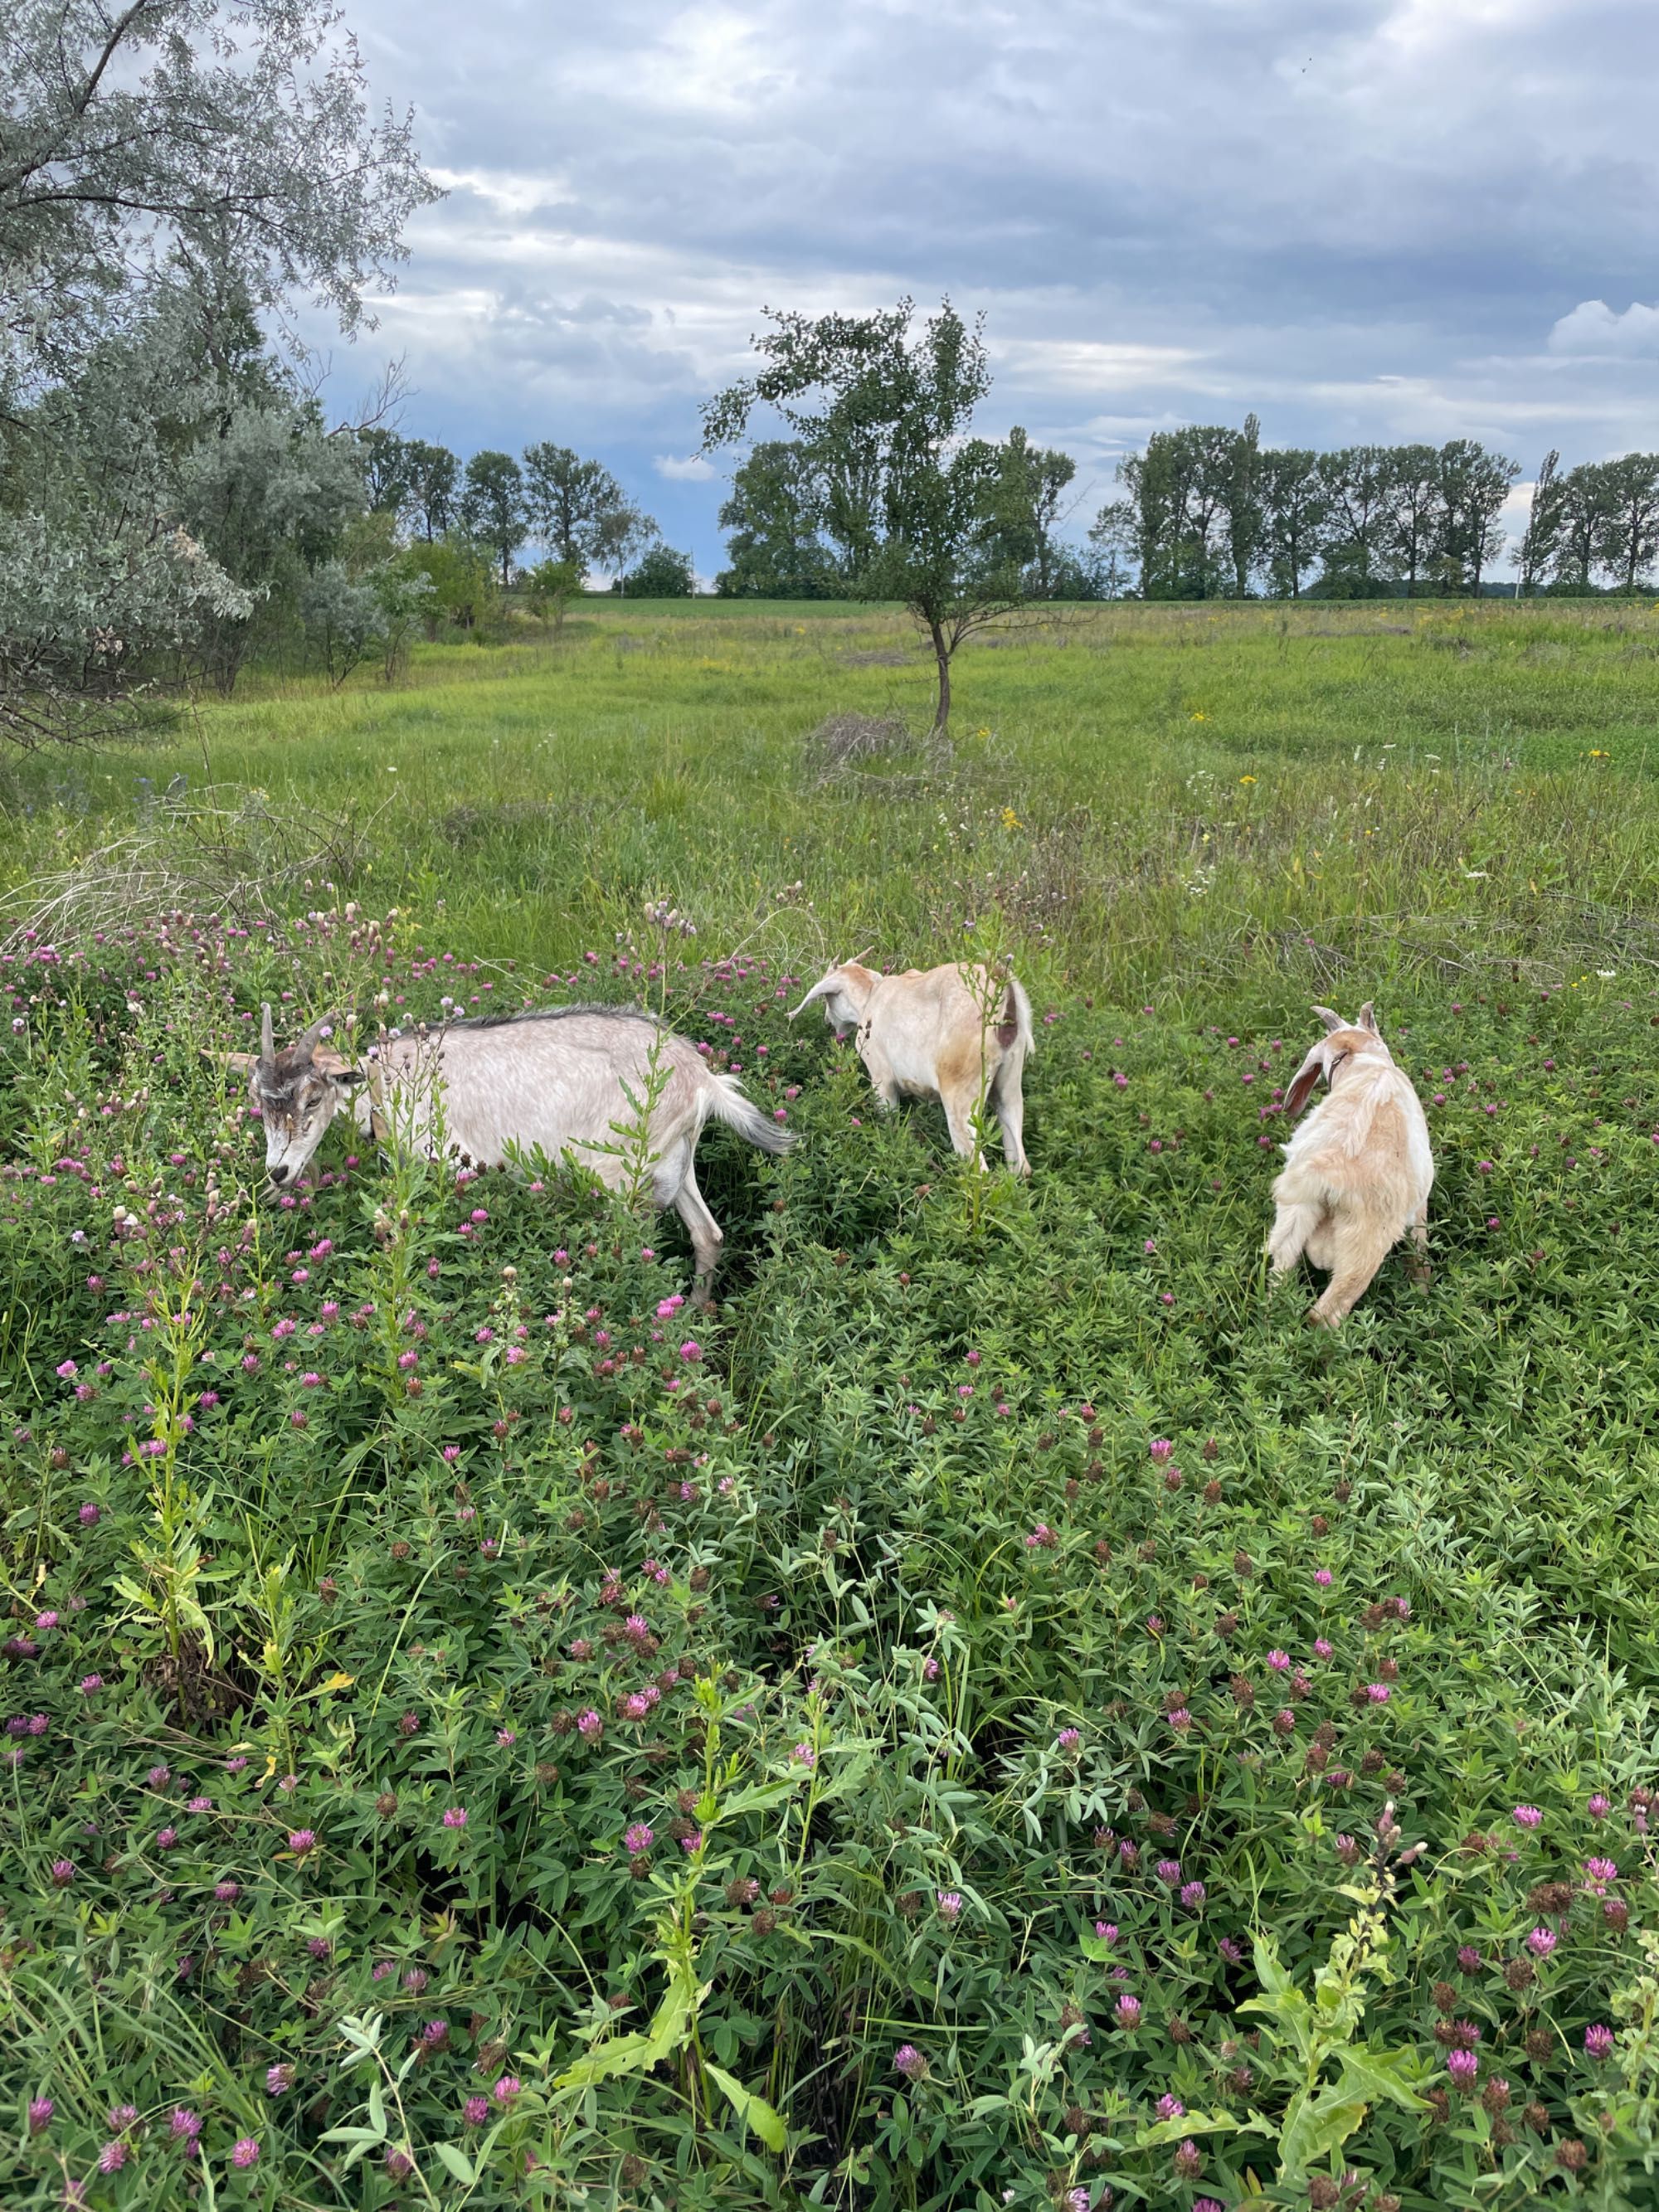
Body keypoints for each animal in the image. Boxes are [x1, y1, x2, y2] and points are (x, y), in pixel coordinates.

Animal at [226, 1013, 791, 1300]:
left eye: (312, 1099)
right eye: (258, 1100)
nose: (279, 1172)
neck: (386, 1083)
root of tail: (703, 1080)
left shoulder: (444, 1162)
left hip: (621, 1177)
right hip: (678, 1162)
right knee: (707, 1235)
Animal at [787, 964, 1035, 1185]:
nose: (827, 1022)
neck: (870, 997)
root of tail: (1001, 983)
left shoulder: (881, 1078)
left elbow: (889, 1121)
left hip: (960, 1096)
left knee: (978, 1171)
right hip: (1009, 1085)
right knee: (1021, 1165)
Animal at [1265, 1009, 1433, 1327]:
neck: (1359, 1061)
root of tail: (1323, 1172)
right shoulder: (1419, 1206)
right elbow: (1420, 1255)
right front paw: (1423, 1292)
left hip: (1290, 1223)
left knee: (1279, 1285)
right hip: (1364, 1247)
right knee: (1325, 1314)